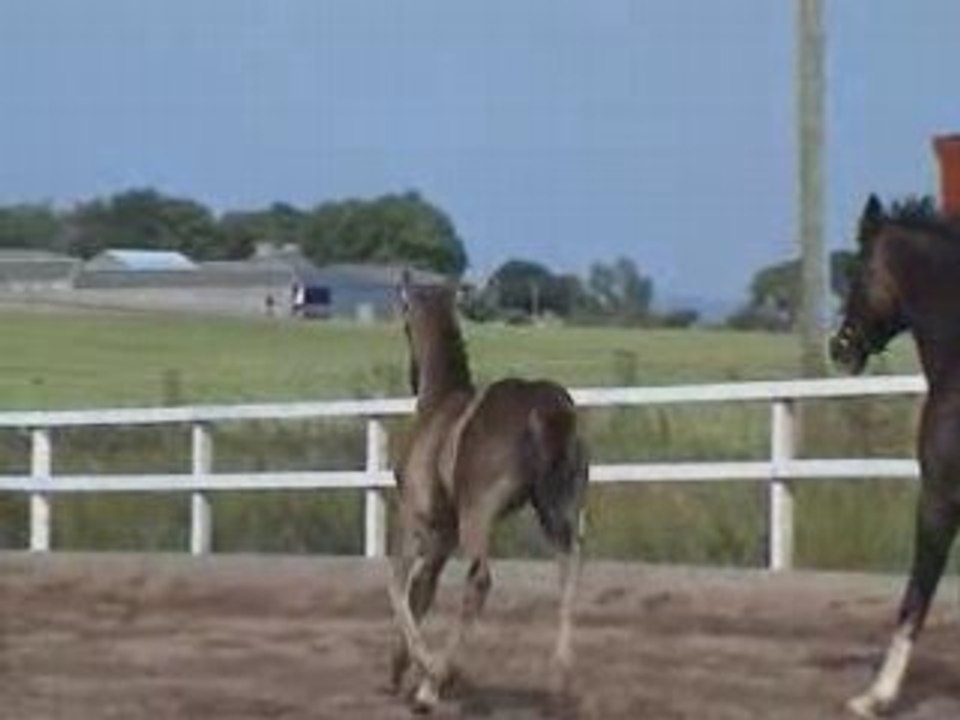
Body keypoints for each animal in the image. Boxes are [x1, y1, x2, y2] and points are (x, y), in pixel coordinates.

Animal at [387, 276, 589, 713]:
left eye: (406, 325)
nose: (411, 374)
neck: (438, 407)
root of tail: (547, 409)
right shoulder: (444, 535)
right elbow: (423, 589)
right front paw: (399, 668)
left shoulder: (414, 517)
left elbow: (398, 586)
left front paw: (425, 672)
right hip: (558, 510)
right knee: (568, 570)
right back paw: (560, 680)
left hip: (478, 514)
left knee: (479, 581)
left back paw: (436, 682)